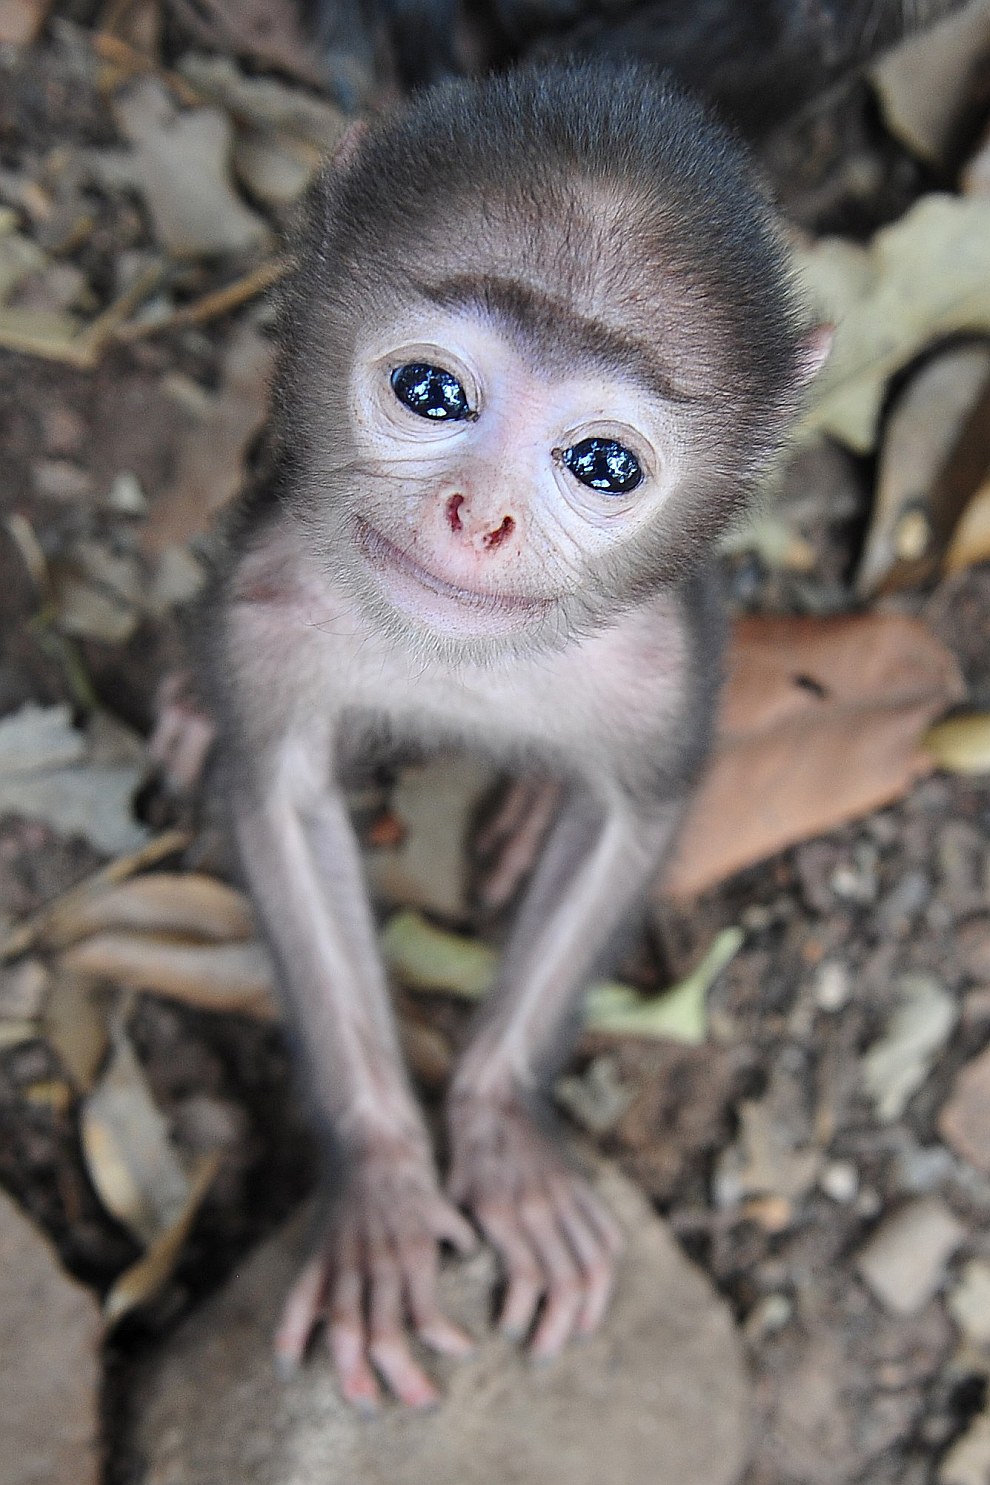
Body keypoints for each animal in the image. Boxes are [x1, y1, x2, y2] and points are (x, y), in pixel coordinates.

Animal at [204, 63, 825, 1407]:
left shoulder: (662, 665)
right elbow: (279, 801)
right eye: (432, 393)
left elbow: (633, 817)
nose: (478, 515)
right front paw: (384, 1182)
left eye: (601, 463)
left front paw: (502, 1135)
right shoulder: (265, 602)